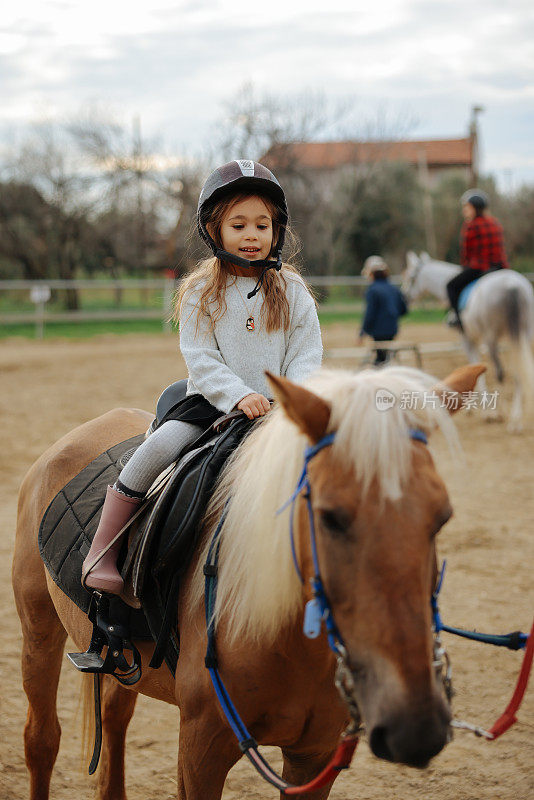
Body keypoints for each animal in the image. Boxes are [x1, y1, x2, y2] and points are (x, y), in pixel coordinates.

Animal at [14, 364, 486, 800]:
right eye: (330, 517)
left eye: (442, 517)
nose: (417, 725)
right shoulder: (201, 748)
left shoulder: (313, 758)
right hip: (39, 627)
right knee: (42, 738)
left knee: (113, 719)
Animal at [406, 253, 534, 434]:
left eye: (411, 277)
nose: (404, 297)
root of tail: (512, 286)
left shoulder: (467, 339)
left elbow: (474, 367)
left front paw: (483, 410)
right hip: (522, 335)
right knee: (518, 373)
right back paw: (515, 420)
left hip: (491, 338)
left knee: (500, 372)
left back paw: (502, 413)